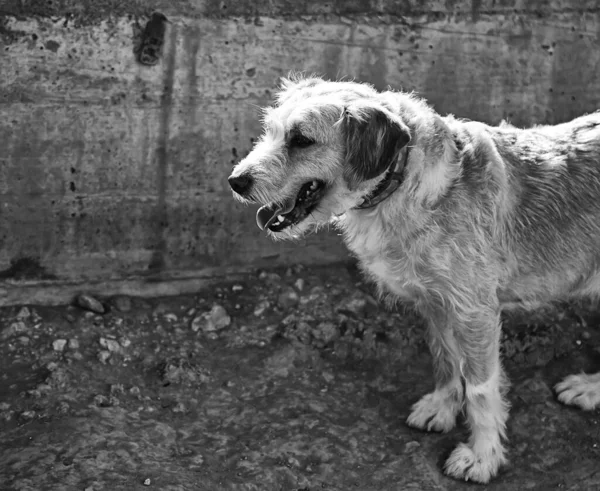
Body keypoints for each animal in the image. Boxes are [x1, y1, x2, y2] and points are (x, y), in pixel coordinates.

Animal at [227, 74, 600, 484]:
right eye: (272, 132)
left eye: (302, 140)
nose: (235, 181)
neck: (403, 181)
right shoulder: (435, 303)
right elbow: (445, 360)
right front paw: (442, 407)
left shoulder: (475, 312)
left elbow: (481, 389)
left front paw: (482, 456)